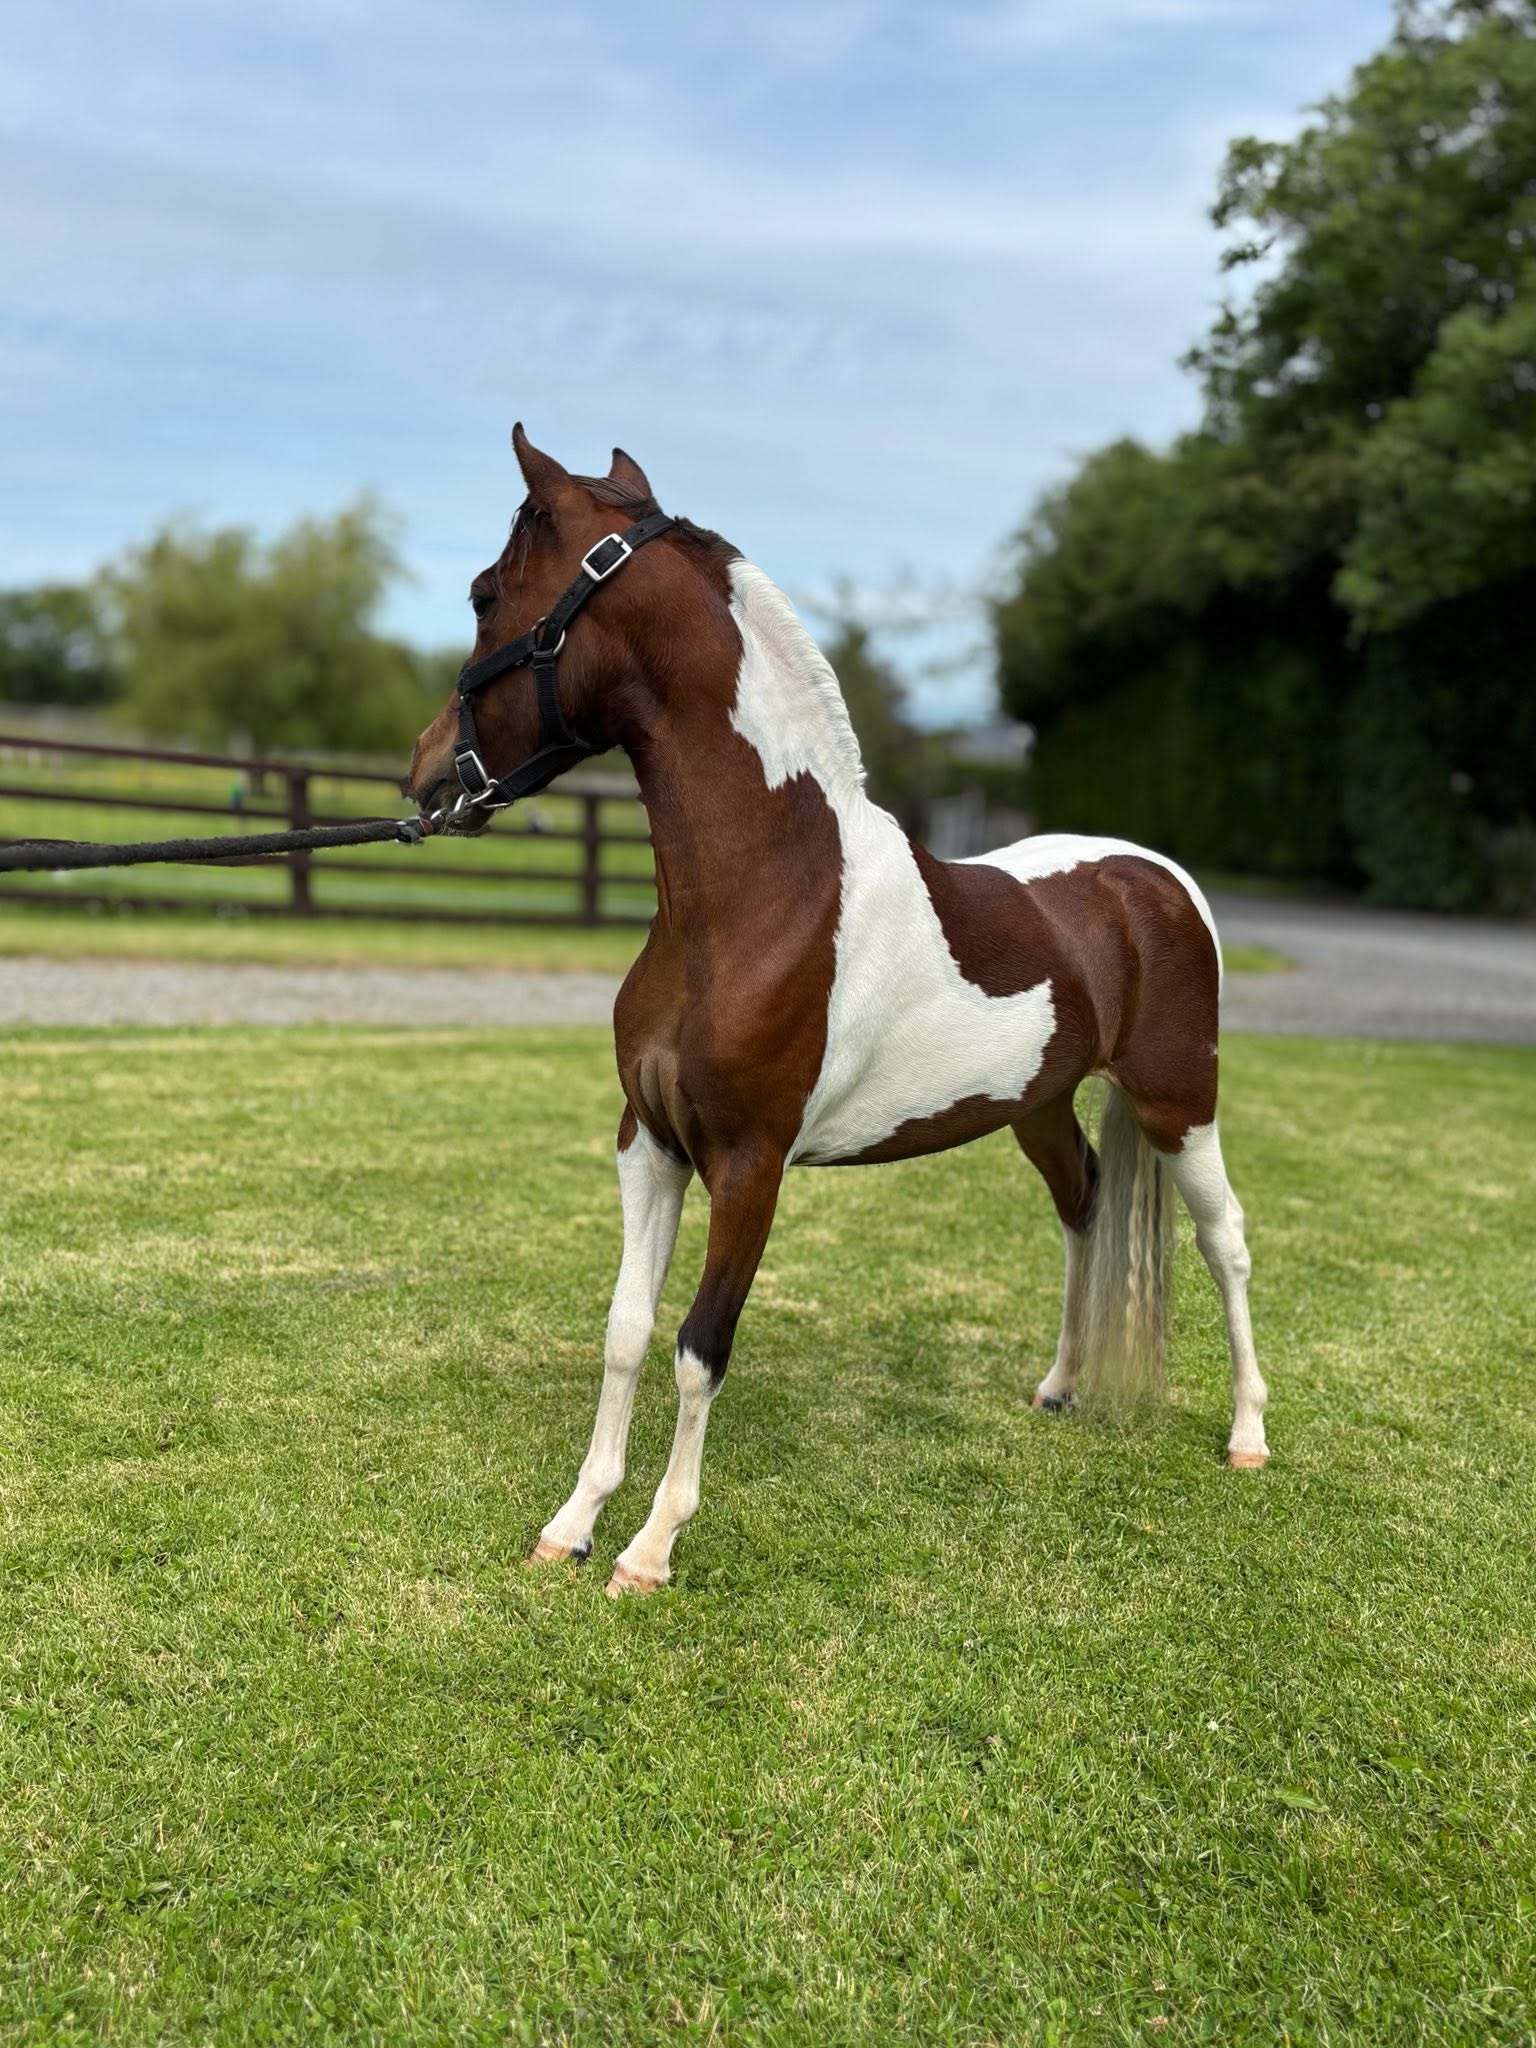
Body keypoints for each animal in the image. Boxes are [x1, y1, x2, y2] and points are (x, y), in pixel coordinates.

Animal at [406, 427, 1269, 1598]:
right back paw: (1061, 1386)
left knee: (1226, 1242)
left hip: (1182, 1102)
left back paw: (1248, 1433)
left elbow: (699, 1348)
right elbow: (627, 1329)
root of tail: (1155, 878)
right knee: (1086, 1205)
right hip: (1039, 1109)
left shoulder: (748, 1165)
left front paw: (650, 1549)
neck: (762, 896)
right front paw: (572, 1523)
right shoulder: (650, 1145)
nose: (422, 775)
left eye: (485, 593)